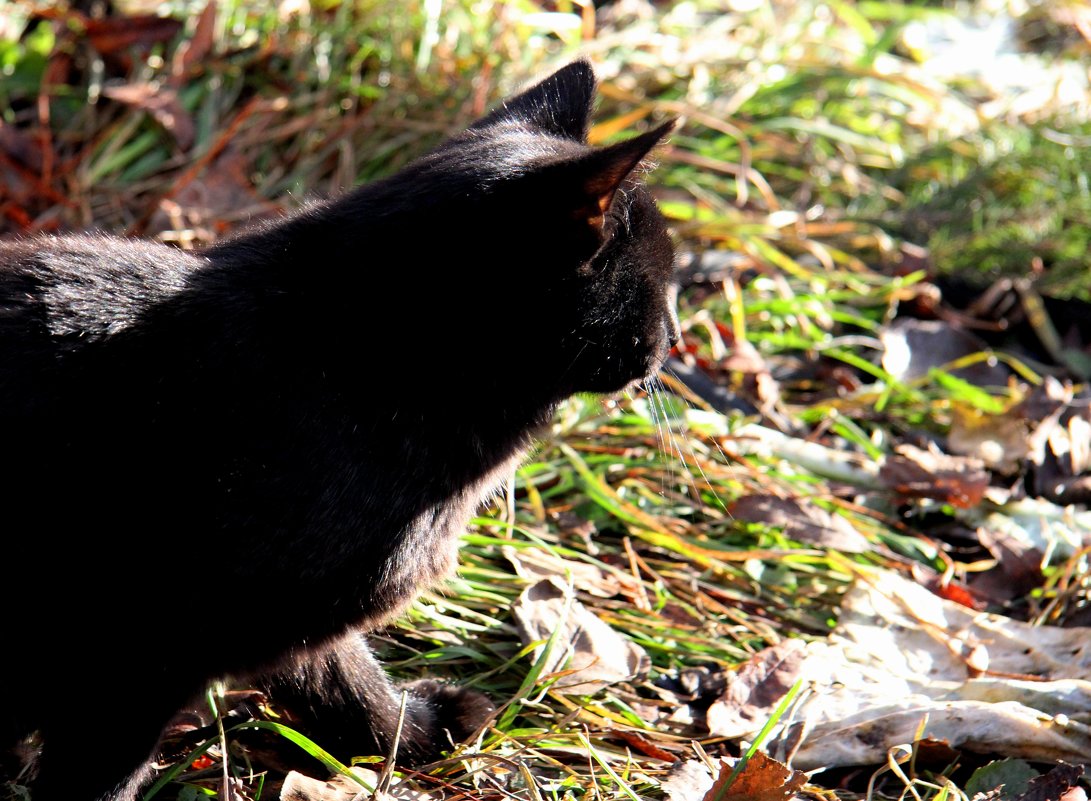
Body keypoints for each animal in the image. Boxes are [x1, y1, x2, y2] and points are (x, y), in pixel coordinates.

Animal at [0, 59, 676, 798]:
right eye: (657, 284)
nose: (676, 337)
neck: (352, 353)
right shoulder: (135, 660)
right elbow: (103, 776)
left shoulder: (286, 623)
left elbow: (348, 683)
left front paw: (416, 732)